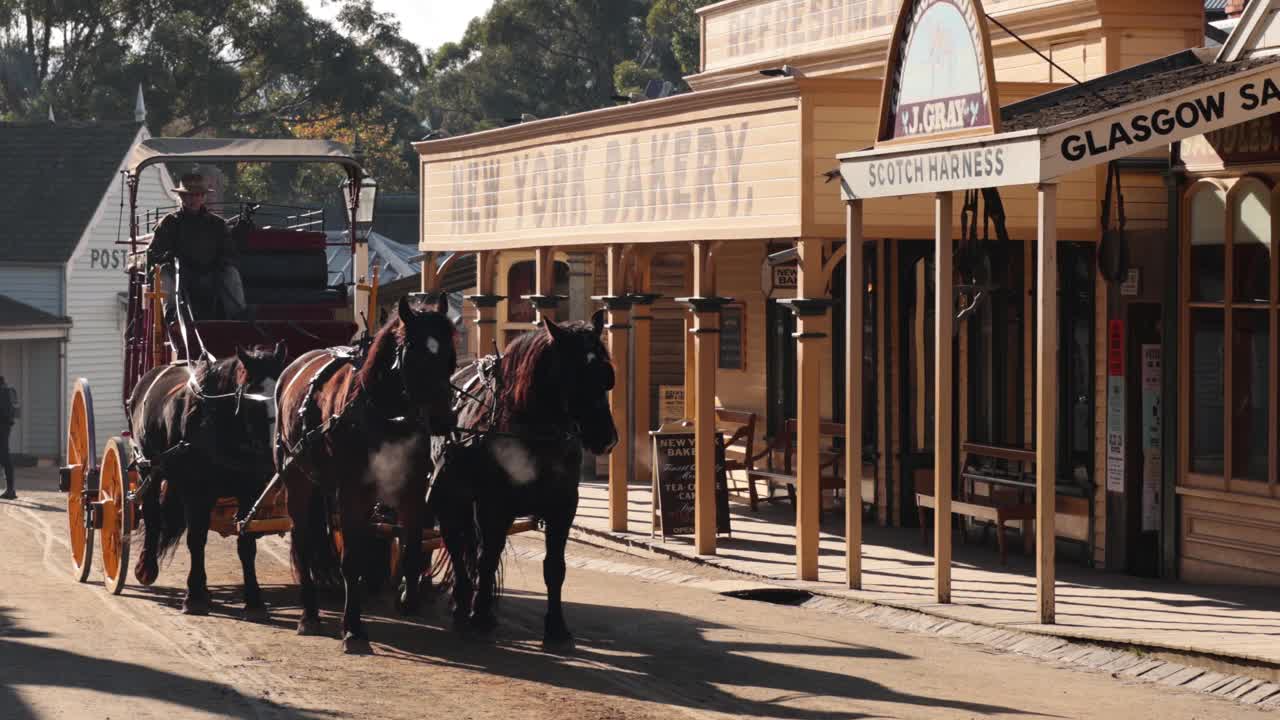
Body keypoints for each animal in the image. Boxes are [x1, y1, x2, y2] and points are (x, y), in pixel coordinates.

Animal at [128, 343, 288, 617]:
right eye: (254, 404)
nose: (274, 450)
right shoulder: (196, 492)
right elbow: (196, 539)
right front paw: (193, 596)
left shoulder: (250, 491)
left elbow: (246, 543)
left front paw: (254, 598)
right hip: (147, 467)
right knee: (151, 514)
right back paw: (146, 568)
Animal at [277, 292, 458, 650]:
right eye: (415, 354)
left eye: (449, 355)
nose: (444, 420)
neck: (388, 417)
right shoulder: (353, 491)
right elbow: (353, 560)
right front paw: (353, 628)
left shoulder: (411, 489)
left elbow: (412, 546)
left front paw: (408, 597)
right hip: (297, 478)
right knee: (303, 539)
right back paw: (309, 615)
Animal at [432, 311, 616, 648]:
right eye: (574, 375)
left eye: (606, 375)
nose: (606, 439)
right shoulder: (494, 507)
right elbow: (487, 558)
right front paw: (480, 615)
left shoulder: (563, 507)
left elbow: (554, 568)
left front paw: (556, 628)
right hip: (451, 496)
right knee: (458, 544)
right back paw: (463, 604)